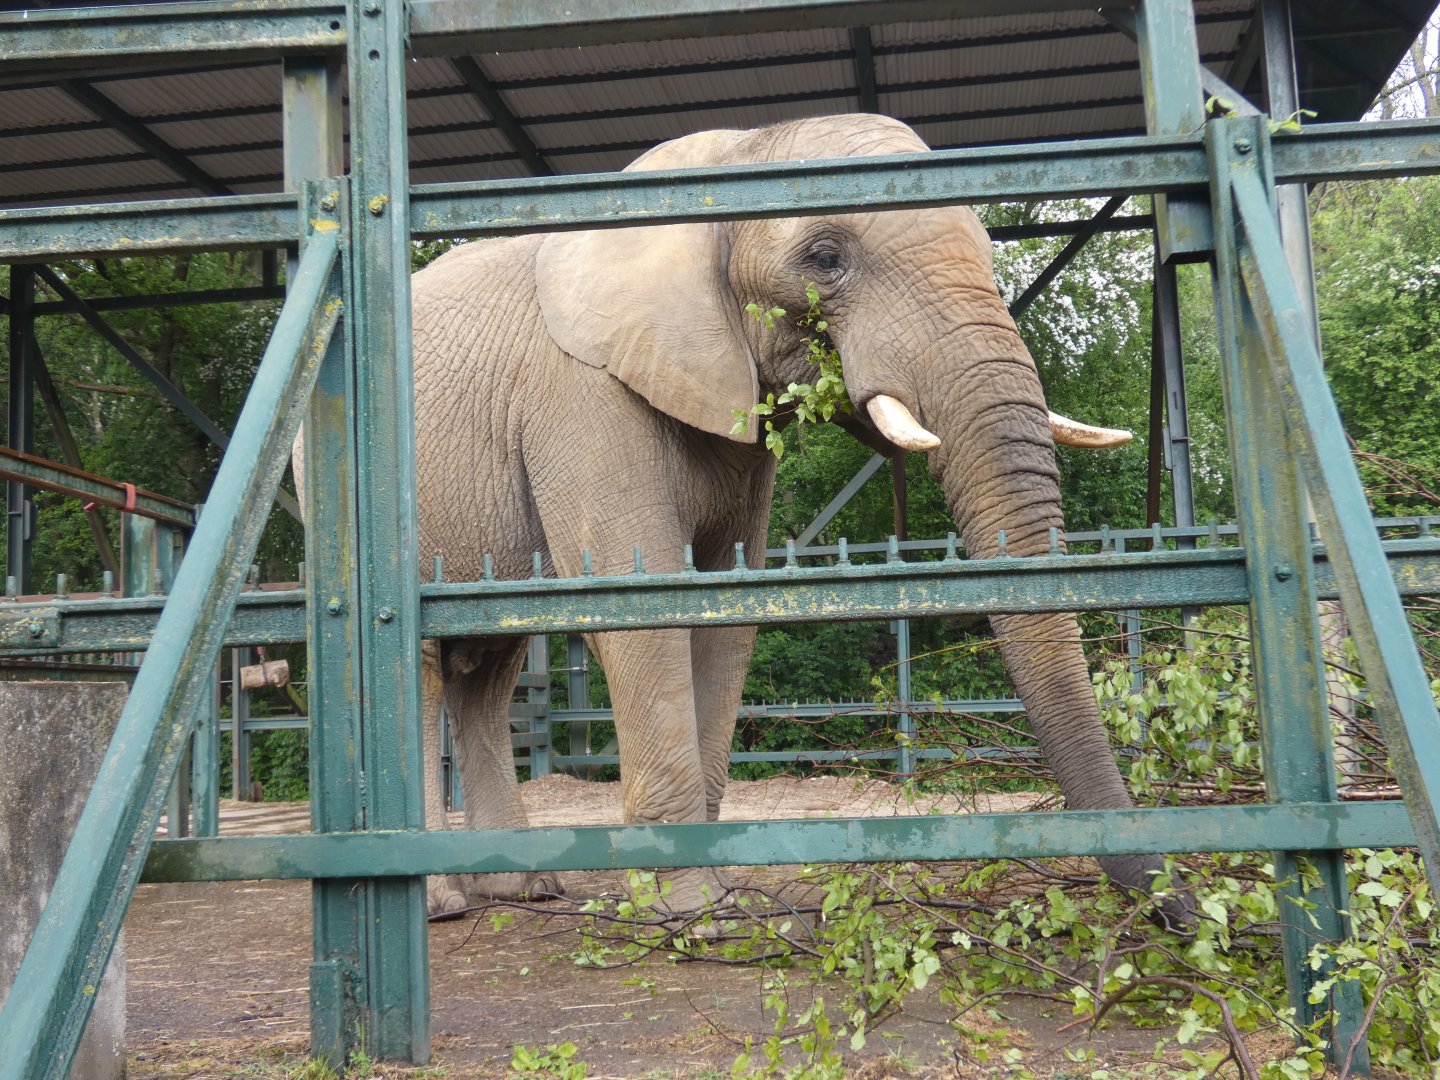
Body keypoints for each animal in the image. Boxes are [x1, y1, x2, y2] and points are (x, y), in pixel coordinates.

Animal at [410, 113, 1173, 921]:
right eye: (825, 257)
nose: (1175, 910)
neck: (728, 153)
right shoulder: (580, 395)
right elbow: (637, 606)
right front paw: (689, 914)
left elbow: (724, 611)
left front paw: (718, 900)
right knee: (429, 670)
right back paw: (444, 902)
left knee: (487, 669)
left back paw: (520, 888)